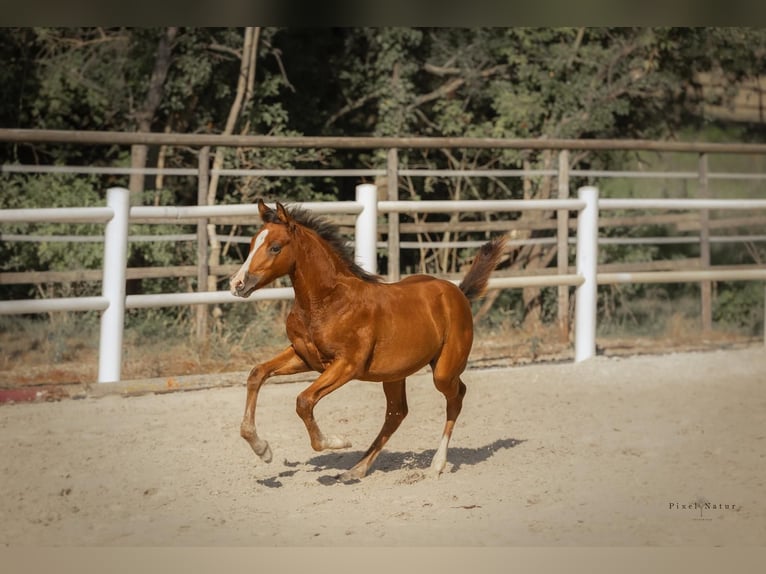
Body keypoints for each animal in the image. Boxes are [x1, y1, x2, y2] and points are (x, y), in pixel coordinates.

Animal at [232, 201, 510, 482]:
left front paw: (338, 441)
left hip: (443, 371)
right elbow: (257, 374)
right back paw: (357, 468)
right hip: (395, 374)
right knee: (397, 413)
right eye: (252, 243)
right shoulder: (304, 357)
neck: (326, 301)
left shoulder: (347, 365)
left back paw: (437, 464)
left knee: (456, 397)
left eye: (275, 247)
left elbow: (304, 401)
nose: (238, 284)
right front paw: (262, 449)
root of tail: (458, 292)